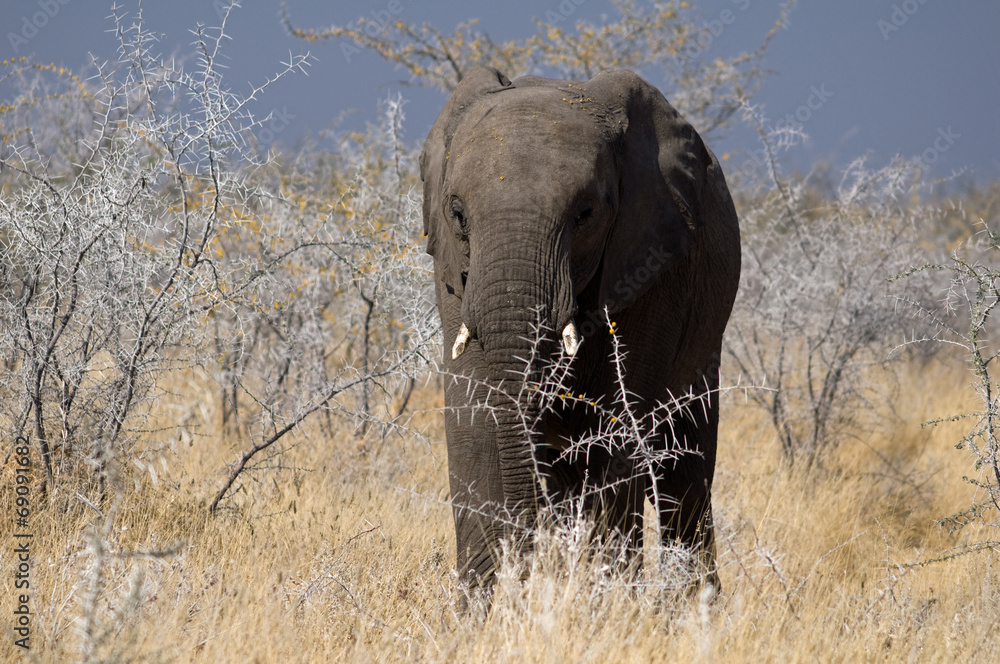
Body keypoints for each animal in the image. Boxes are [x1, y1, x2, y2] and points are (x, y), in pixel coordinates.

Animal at [420, 67, 741, 594]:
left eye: (585, 213)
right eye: (458, 215)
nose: (524, 572)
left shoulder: (654, 268)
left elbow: (616, 431)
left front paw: (605, 603)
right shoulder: (453, 275)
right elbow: (474, 424)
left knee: (683, 471)